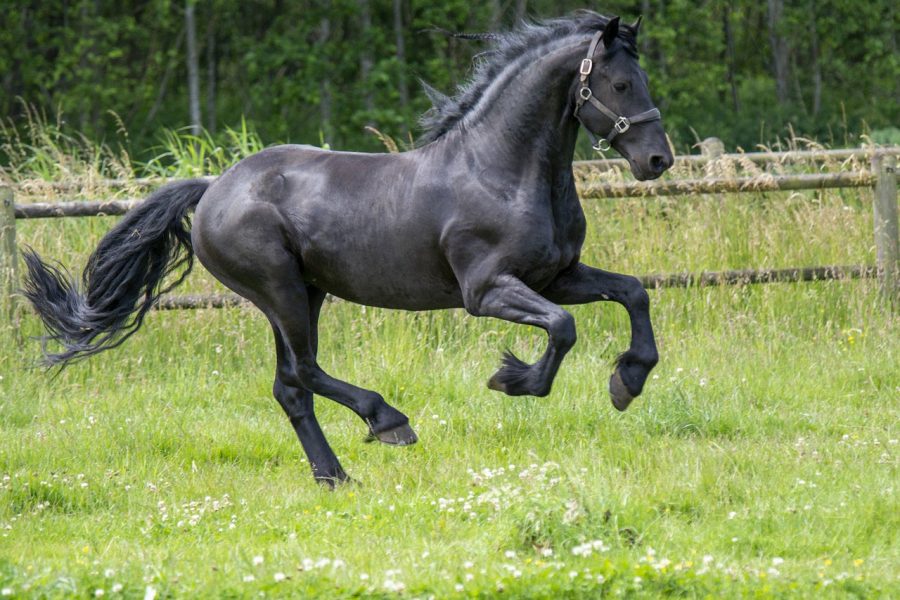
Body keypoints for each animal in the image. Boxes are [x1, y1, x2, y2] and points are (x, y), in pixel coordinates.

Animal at [22, 12, 673, 486]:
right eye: (619, 83)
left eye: (641, 81)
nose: (657, 160)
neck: (501, 171)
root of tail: (213, 189)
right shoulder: (487, 290)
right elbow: (563, 328)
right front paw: (514, 380)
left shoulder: (558, 275)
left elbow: (632, 293)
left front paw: (628, 381)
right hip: (281, 291)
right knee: (305, 372)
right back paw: (389, 422)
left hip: (304, 294)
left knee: (290, 387)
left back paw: (335, 476)